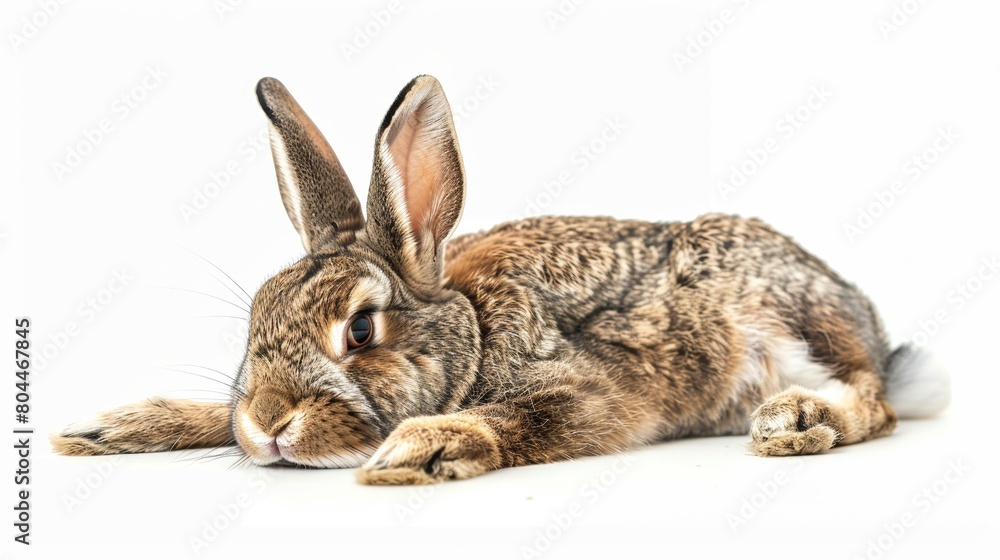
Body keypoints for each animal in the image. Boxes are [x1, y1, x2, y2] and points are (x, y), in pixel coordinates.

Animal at [51, 75, 951, 484]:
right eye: (257, 318)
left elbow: (526, 419)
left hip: (796, 324)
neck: (472, 332)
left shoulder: (590, 391)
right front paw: (113, 428)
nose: (271, 424)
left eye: (362, 329)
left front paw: (426, 446)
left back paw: (799, 417)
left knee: (873, 399)